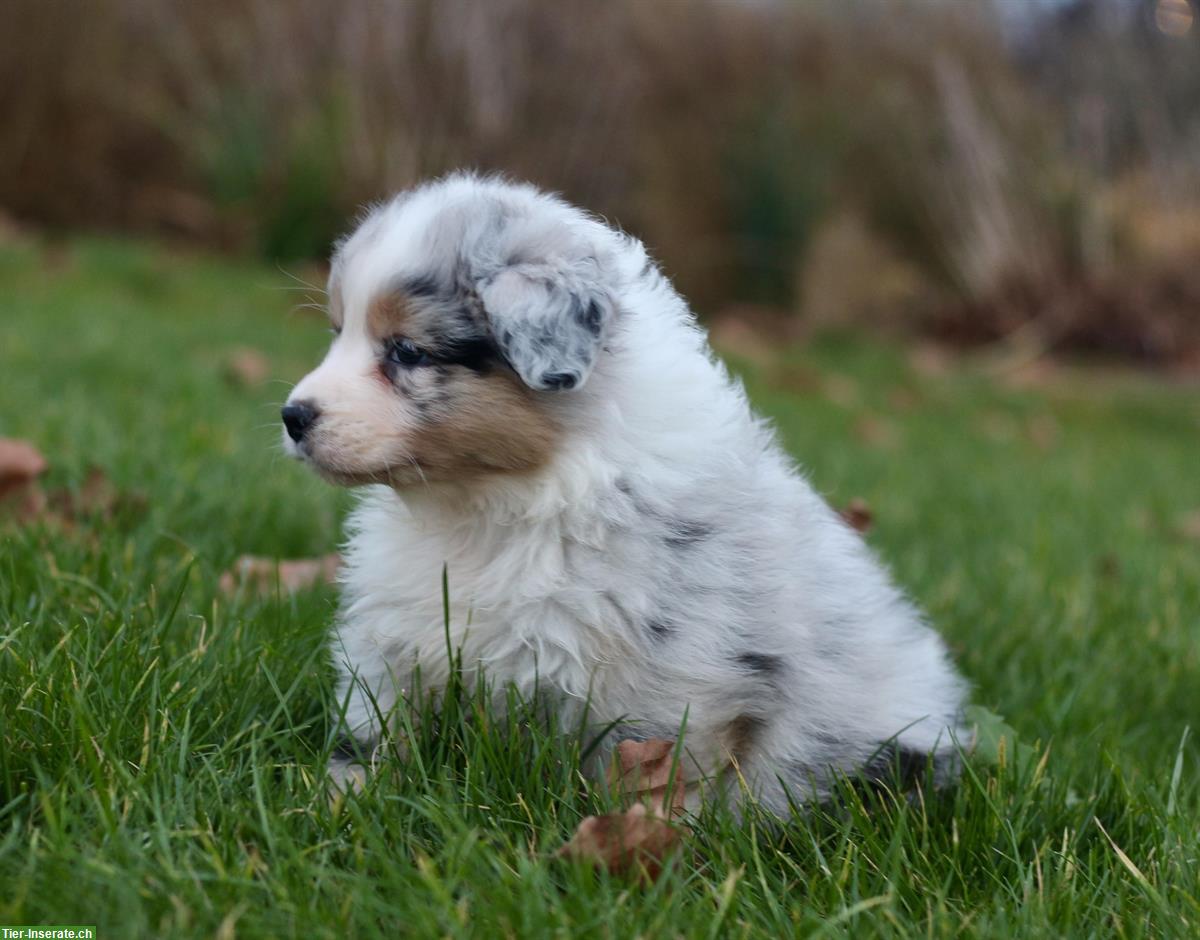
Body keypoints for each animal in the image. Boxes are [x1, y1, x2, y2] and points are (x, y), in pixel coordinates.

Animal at [280, 172, 964, 811]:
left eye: (407, 351)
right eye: (338, 331)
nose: (293, 416)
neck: (485, 502)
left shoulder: (673, 680)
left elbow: (654, 773)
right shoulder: (392, 635)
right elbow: (375, 726)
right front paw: (340, 801)